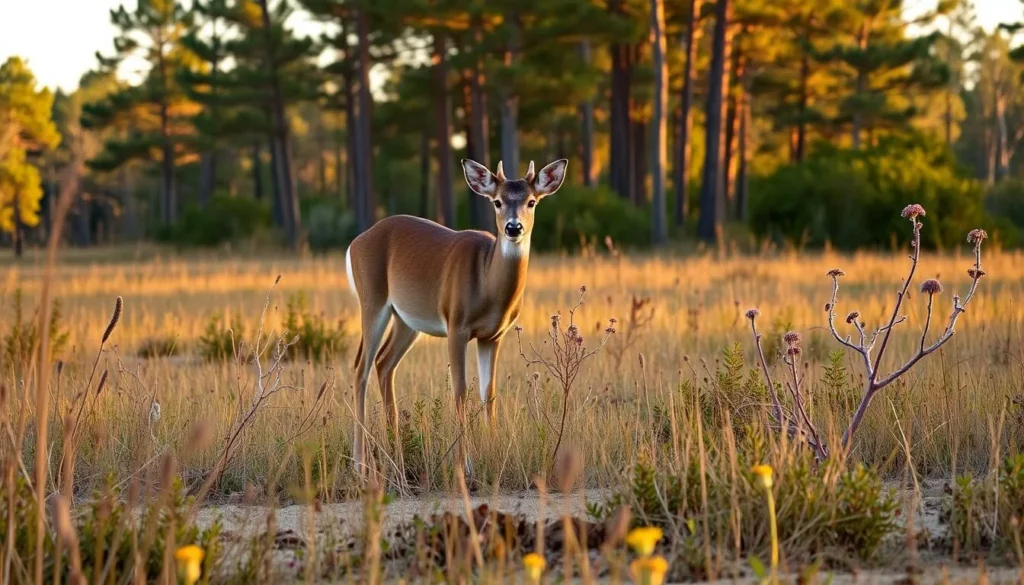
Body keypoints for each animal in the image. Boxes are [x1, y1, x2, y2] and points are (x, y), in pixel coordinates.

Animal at [345, 158, 568, 474]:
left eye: (532, 201)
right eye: (497, 202)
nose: (513, 227)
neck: (487, 285)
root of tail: (356, 242)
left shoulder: (493, 336)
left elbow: (489, 392)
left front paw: (493, 453)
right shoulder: (456, 325)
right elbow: (460, 390)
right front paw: (465, 464)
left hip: (406, 320)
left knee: (383, 362)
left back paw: (396, 450)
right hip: (373, 299)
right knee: (360, 366)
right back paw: (359, 462)